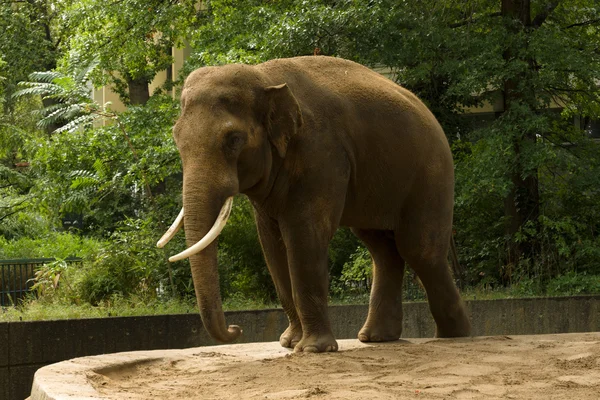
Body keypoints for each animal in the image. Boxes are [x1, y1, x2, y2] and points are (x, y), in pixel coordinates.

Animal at [157, 54, 472, 352]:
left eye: (233, 139)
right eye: (176, 139)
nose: (237, 329)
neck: (264, 76)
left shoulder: (321, 153)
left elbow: (304, 235)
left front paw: (312, 348)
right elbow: (271, 243)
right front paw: (289, 343)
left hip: (431, 176)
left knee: (420, 250)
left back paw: (454, 335)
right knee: (382, 249)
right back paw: (377, 338)